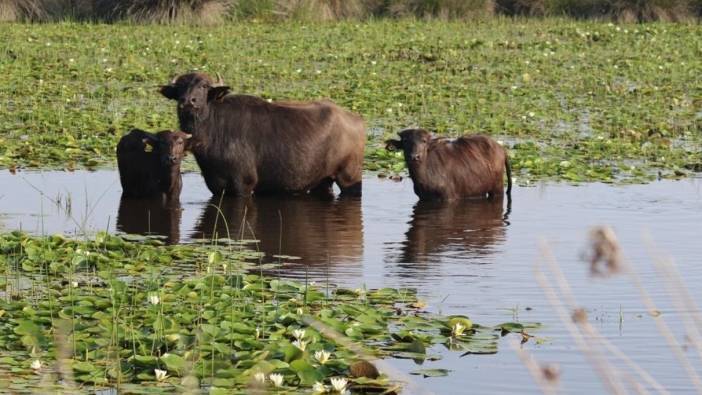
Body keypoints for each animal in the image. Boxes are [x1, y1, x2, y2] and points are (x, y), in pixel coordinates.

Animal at [160, 72, 368, 198]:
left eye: (204, 86)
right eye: (180, 87)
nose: (188, 101)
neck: (211, 132)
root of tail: (356, 119)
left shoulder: (243, 185)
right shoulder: (216, 187)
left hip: (350, 178)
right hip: (323, 181)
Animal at [388, 129, 516, 201]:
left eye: (424, 141)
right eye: (405, 141)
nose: (415, 156)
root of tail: (502, 149)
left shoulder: (449, 198)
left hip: (497, 188)